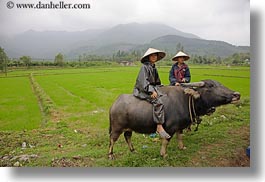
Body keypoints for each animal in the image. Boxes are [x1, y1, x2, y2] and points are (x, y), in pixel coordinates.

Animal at [107, 79, 239, 159]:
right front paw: (163, 154)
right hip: (117, 127)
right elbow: (166, 140)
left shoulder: (180, 126)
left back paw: (133, 150)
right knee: (112, 139)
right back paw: (111, 155)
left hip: (129, 127)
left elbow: (180, 137)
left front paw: (182, 147)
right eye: (211, 86)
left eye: (220, 83)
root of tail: (114, 104)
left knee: (127, 136)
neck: (186, 100)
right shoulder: (170, 128)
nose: (237, 94)